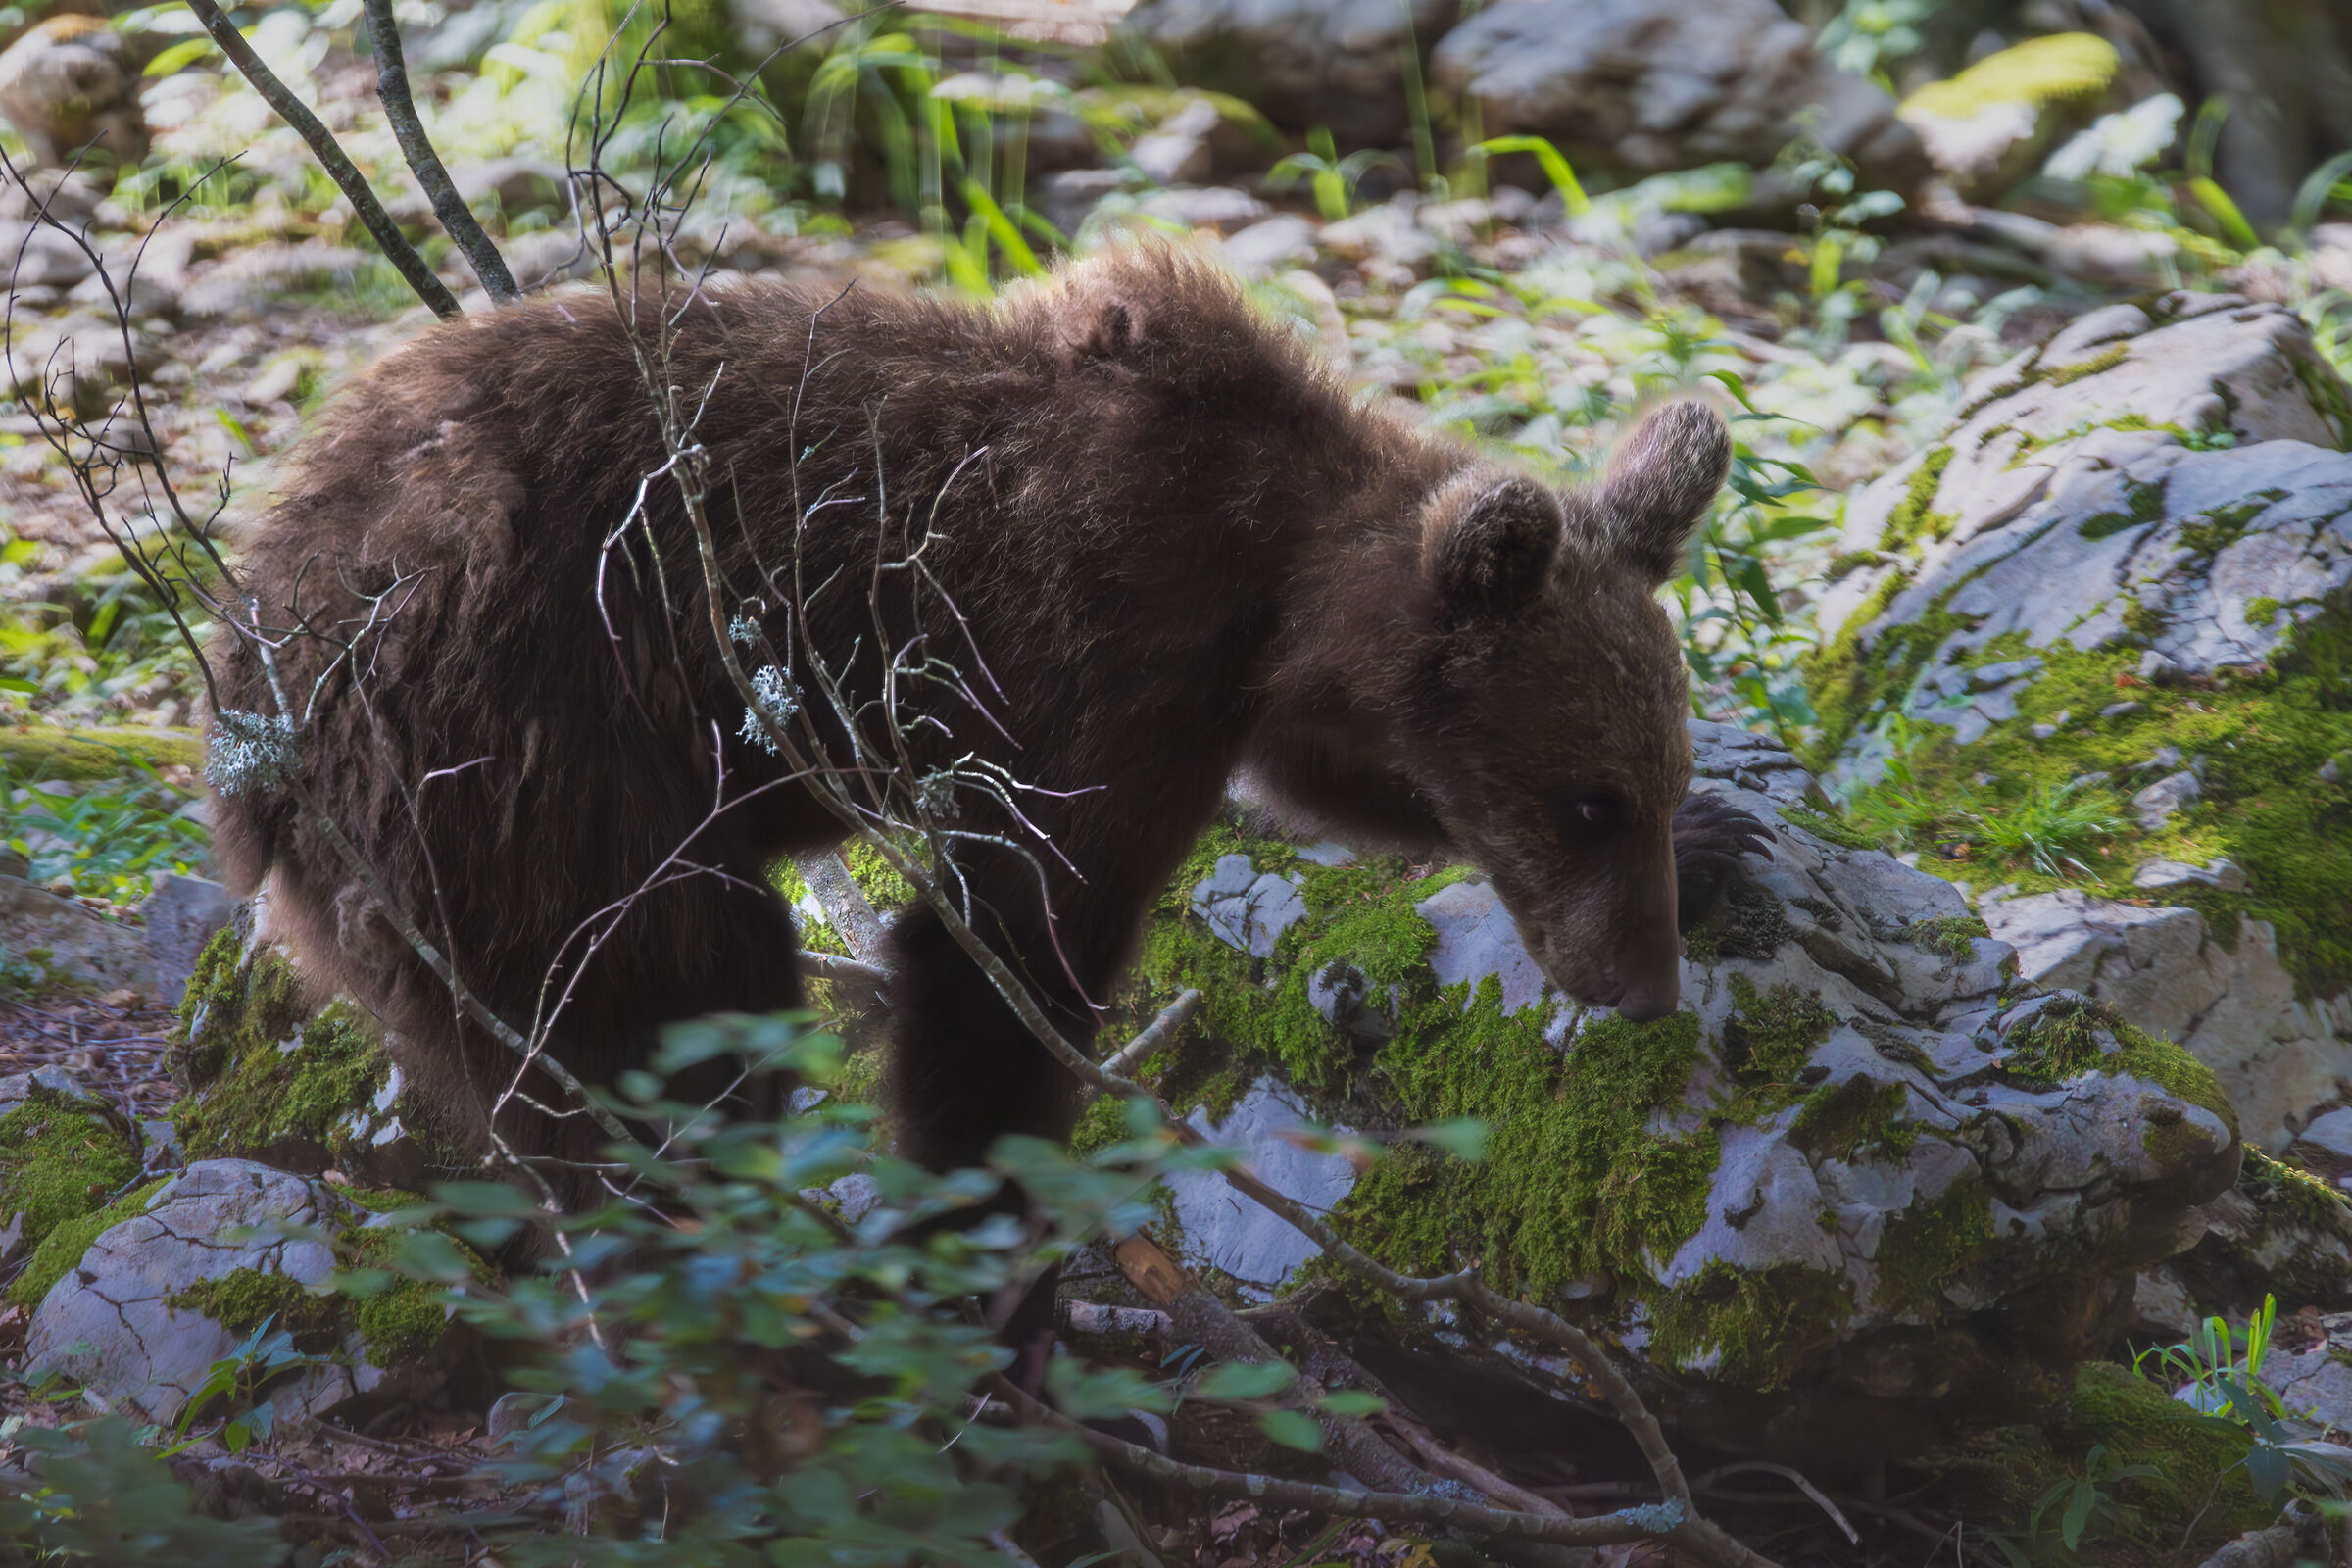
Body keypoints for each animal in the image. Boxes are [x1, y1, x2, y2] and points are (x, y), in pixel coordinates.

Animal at [207, 244, 1753, 1189]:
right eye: (1587, 799)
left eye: (1651, 783)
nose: (1644, 988)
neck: (1266, 579)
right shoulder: (1091, 675)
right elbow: (1004, 958)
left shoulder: (1235, 697)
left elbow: (1330, 781)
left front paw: (1730, 842)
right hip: (530, 762)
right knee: (682, 1004)